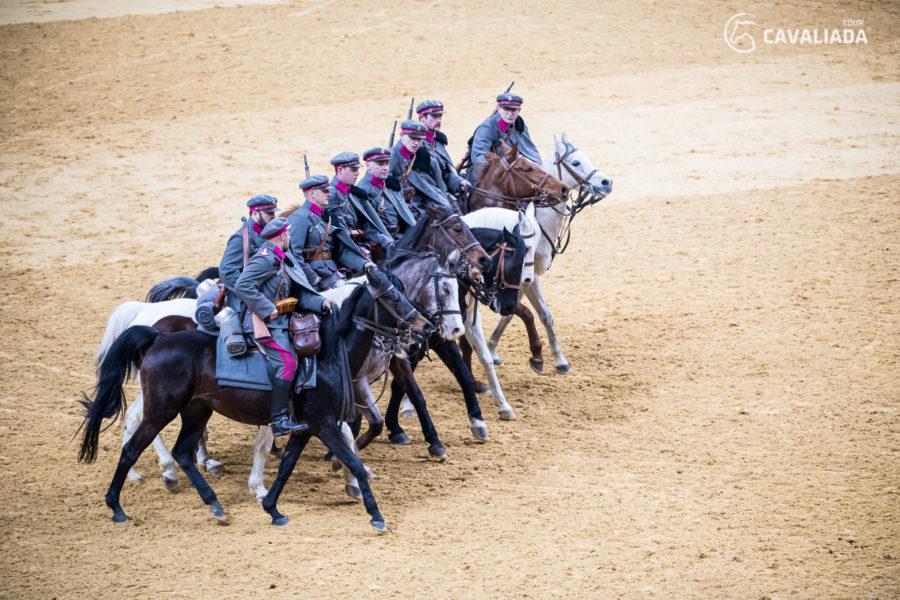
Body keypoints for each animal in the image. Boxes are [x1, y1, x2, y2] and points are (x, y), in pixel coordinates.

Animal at [77, 270, 428, 532]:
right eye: (393, 297)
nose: (424, 329)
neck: (325, 354)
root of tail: (157, 336)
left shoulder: (304, 428)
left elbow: (286, 466)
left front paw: (273, 508)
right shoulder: (322, 424)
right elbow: (347, 458)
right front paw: (375, 513)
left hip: (195, 410)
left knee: (183, 451)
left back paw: (214, 504)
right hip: (162, 408)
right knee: (132, 447)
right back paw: (119, 504)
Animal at [486, 134, 612, 372]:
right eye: (575, 162)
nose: (607, 182)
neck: (537, 224)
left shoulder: (525, 280)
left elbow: (524, 314)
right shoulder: (528, 278)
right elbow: (530, 314)